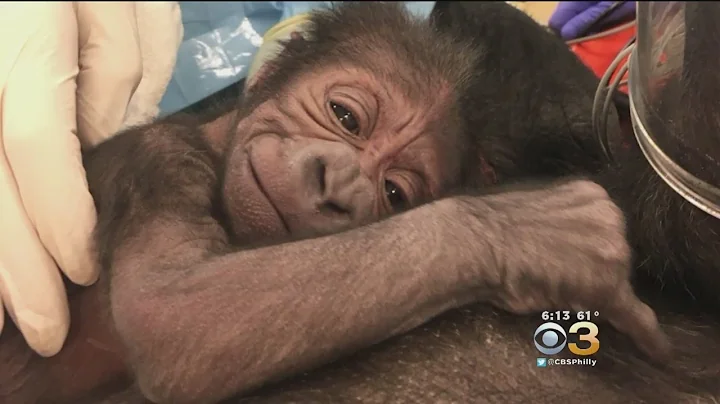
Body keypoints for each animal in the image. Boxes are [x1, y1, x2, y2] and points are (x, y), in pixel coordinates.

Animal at [1, 2, 711, 403]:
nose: (337, 184)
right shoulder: (158, 156)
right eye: (345, 116)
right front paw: (535, 232)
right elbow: (171, 312)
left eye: (393, 191)